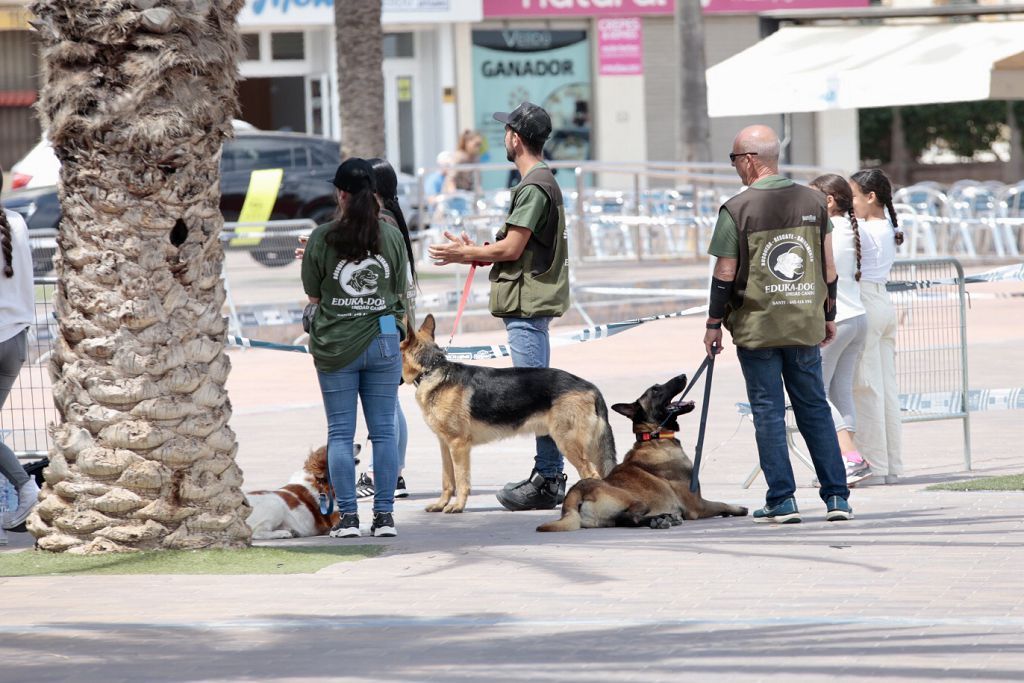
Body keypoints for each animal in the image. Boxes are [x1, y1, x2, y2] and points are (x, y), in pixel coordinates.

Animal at [399, 315, 614, 511]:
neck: (431, 369)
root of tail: (591, 386)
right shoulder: (445, 445)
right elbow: (447, 480)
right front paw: (441, 504)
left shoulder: (459, 445)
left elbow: (461, 480)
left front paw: (458, 506)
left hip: (568, 444)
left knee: (592, 476)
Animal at [536, 374, 753, 532]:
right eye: (656, 390)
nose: (683, 375)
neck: (654, 436)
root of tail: (575, 492)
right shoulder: (697, 505)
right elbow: (721, 503)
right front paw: (738, 509)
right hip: (636, 500)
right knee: (629, 517)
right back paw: (660, 519)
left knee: (623, 521)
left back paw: (662, 518)